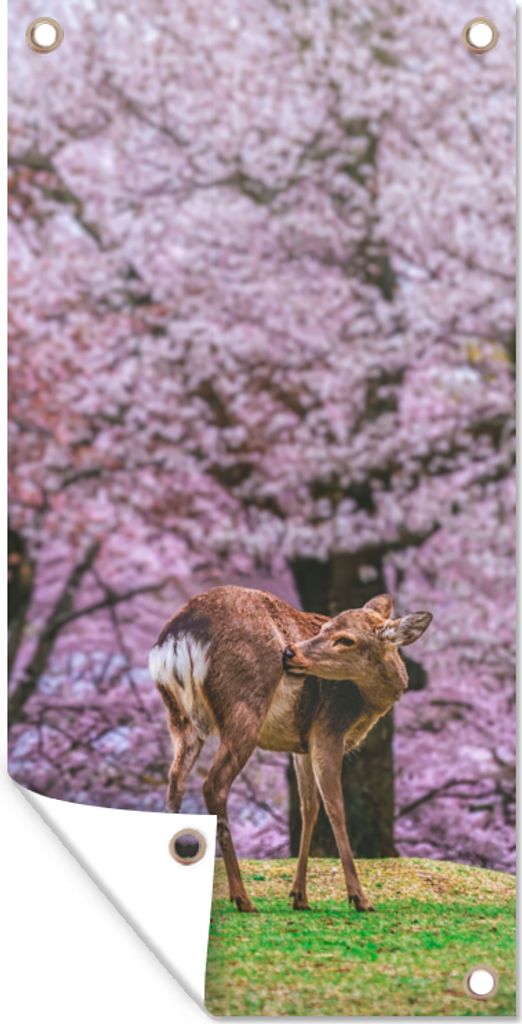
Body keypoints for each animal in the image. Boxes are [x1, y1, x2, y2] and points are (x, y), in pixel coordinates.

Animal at [149, 585, 432, 913]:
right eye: (325, 628)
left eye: (346, 639)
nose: (290, 652)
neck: (367, 705)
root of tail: (178, 637)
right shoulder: (328, 727)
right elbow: (335, 807)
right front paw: (360, 898)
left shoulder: (301, 745)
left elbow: (309, 807)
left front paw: (299, 896)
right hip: (244, 707)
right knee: (214, 784)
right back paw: (243, 898)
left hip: (180, 718)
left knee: (175, 781)